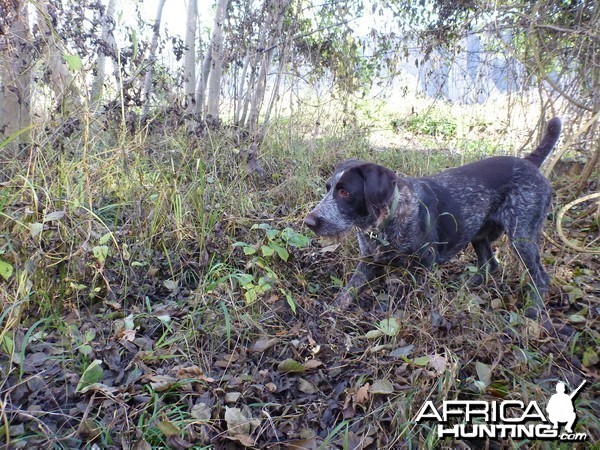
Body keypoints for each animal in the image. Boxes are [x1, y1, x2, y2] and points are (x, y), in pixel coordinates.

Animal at [304, 118, 564, 318]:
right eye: (328, 188)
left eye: (345, 192)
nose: (309, 222)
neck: (389, 221)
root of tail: (529, 163)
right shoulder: (368, 261)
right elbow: (347, 292)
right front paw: (331, 312)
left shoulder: (424, 264)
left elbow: (410, 297)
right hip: (478, 232)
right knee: (489, 264)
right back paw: (464, 287)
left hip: (522, 236)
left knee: (541, 277)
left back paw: (532, 311)